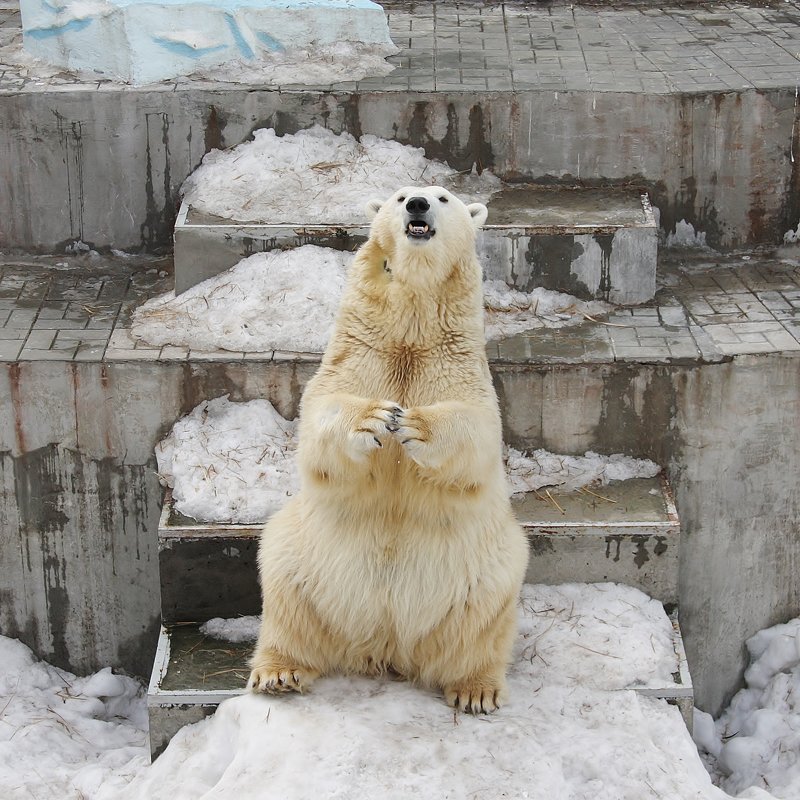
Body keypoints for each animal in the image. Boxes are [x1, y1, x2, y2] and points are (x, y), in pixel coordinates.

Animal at [247, 186, 528, 712]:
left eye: (443, 196)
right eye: (399, 195)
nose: (417, 204)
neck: (412, 324)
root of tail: (386, 644)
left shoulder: (457, 361)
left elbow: (479, 431)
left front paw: (416, 423)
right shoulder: (360, 349)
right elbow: (320, 415)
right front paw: (376, 417)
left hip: (483, 572)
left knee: (482, 620)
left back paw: (475, 689)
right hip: (303, 555)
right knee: (284, 590)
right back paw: (279, 671)